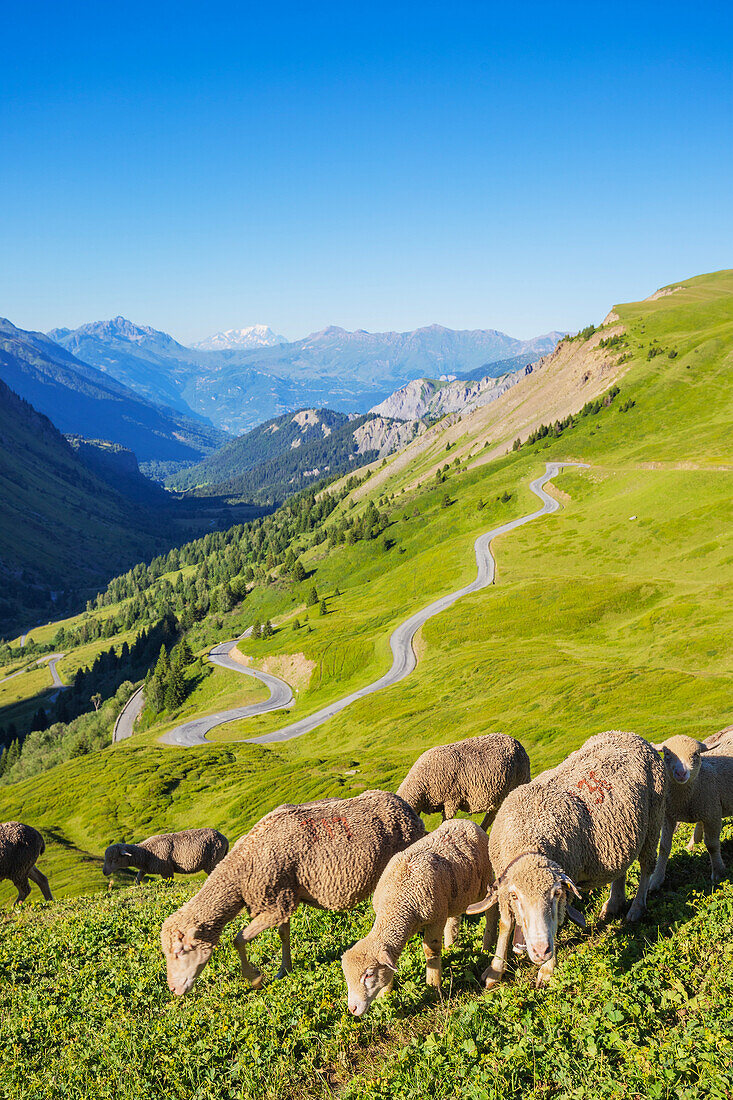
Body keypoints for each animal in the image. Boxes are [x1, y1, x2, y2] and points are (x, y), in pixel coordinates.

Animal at [159, 787, 422, 994]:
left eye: (180, 951)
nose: (173, 989)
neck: (240, 871)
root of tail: (403, 805)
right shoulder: (281, 897)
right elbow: (283, 935)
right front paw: (284, 969)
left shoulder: (277, 905)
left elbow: (238, 939)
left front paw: (255, 978)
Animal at [341, 818, 490, 1012]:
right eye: (346, 976)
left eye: (369, 974)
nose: (352, 1009)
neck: (397, 901)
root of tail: (465, 821)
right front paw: (385, 996)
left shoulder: (436, 919)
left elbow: (430, 950)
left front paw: (433, 986)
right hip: (456, 895)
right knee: (454, 918)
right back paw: (452, 946)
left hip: (485, 881)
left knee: (493, 911)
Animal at [464, 734, 664, 994]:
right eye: (516, 896)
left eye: (556, 893)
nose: (541, 951)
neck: (527, 843)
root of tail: (631, 735)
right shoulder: (504, 885)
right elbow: (506, 924)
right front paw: (495, 970)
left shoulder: (566, 877)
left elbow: (556, 920)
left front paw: (548, 969)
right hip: (622, 836)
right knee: (621, 869)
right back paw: (613, 903)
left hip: (654, 821)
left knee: (647, 868)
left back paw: (636, 908)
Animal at [647, 734, 730, 888]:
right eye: (667, 754)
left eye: (696, 754)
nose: (681, 773)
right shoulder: (668, 816)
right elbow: (664, 847)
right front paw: (656, 879)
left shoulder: (713, 814)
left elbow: (712, 845)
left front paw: (719, 872)